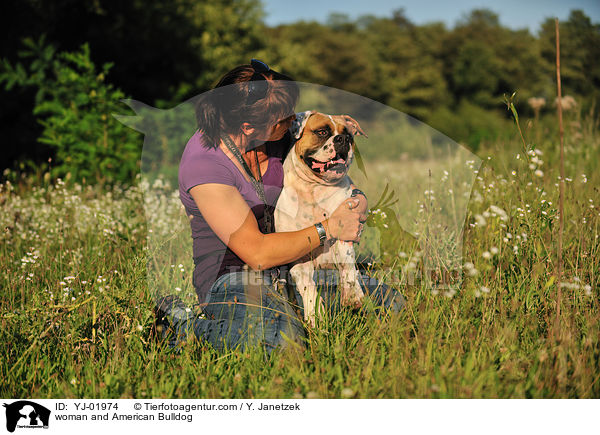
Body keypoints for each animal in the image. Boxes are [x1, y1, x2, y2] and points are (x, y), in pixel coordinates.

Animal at [276, 112, 366, 328]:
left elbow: (347, 265)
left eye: (348, 134)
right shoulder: (299, 257)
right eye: (322, 132)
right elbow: (307, 286)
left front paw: (353, 295)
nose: (343, 139)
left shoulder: (345, 231)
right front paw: (314, 314)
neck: (313, 188)